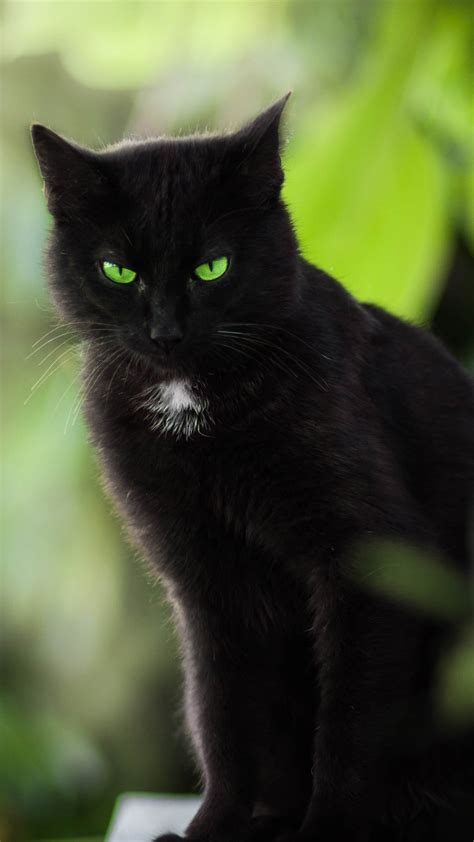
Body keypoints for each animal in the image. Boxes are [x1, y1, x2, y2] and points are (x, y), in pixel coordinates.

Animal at [31, 95, 472, 836]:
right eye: (119, 270)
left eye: (213, 266)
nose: (165, 331)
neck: (194, 405)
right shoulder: (207, 581)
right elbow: (225, 710)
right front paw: (216, 826)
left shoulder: (372, 558)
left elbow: (350, 719)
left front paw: (326, 827)